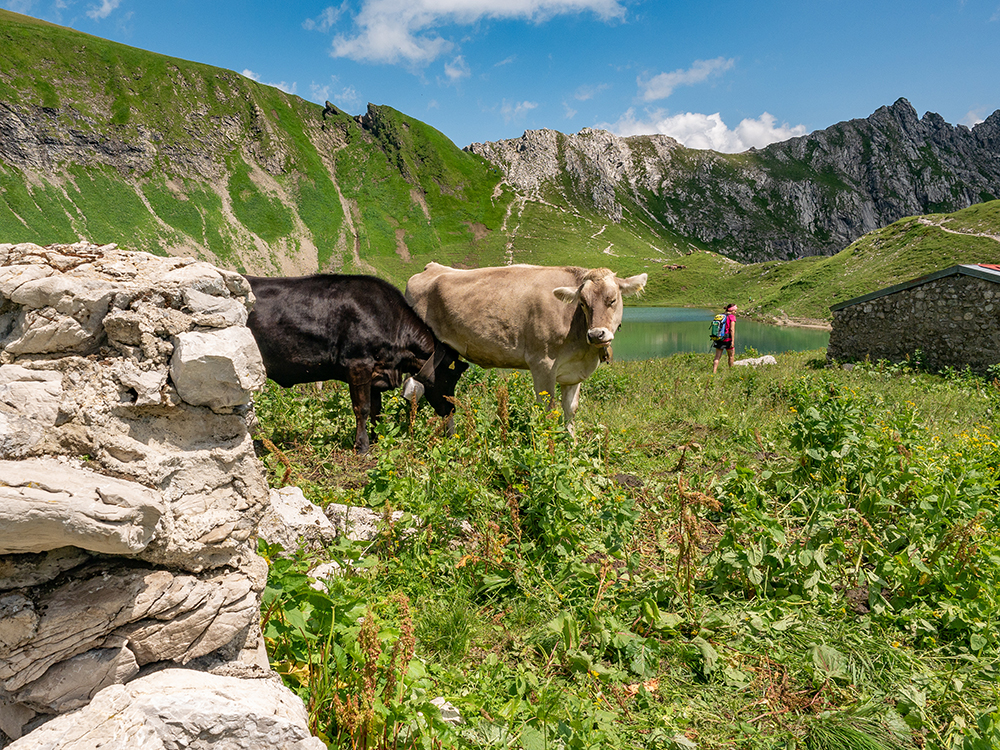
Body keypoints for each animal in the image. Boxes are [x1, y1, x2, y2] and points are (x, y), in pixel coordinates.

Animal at [248, 274, 470, 456]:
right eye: (451, 377)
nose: (452, 409)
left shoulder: (376, 373)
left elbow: (376, 409)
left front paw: (377, 439)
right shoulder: (358, 365)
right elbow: (362, 408)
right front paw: (362, 447)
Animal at [406, 262, 648, 428]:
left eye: (612, 299)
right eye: (583, 303)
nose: (597, 334)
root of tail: (431, 267)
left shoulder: (572, 372)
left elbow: (570, 410)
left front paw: (572, 448)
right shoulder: (543, 363)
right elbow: (547, 410)